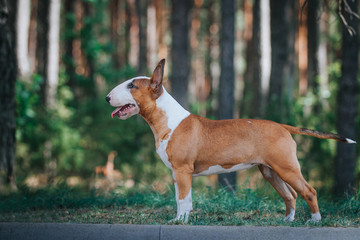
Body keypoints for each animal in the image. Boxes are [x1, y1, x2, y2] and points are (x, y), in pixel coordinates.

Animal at [105, 59, 356, 223]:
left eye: (132, 85)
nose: (107, 97)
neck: (168, 119)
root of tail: (281, 126)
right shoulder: (176, 173)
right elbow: (179, 199)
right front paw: (177, 219)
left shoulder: (183, 170)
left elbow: (184, 199)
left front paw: (181, 221)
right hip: (270, 171)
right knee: (290, 195)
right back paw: (287, 220)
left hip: (287, 167)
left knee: (309, 191)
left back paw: (314, 220)